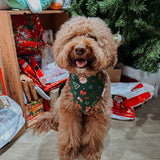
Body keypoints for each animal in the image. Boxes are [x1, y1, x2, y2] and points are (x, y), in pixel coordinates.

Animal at [33, 15, 117, 159]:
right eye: (72, 37)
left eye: (93, 37)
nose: (79, 49)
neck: (84, 82)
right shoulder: (69, 111)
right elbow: (69, 133)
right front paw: (69, 151)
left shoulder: (98, 114)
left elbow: (93, 136)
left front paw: (91, 152)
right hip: (59, 106)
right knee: (57, 122)